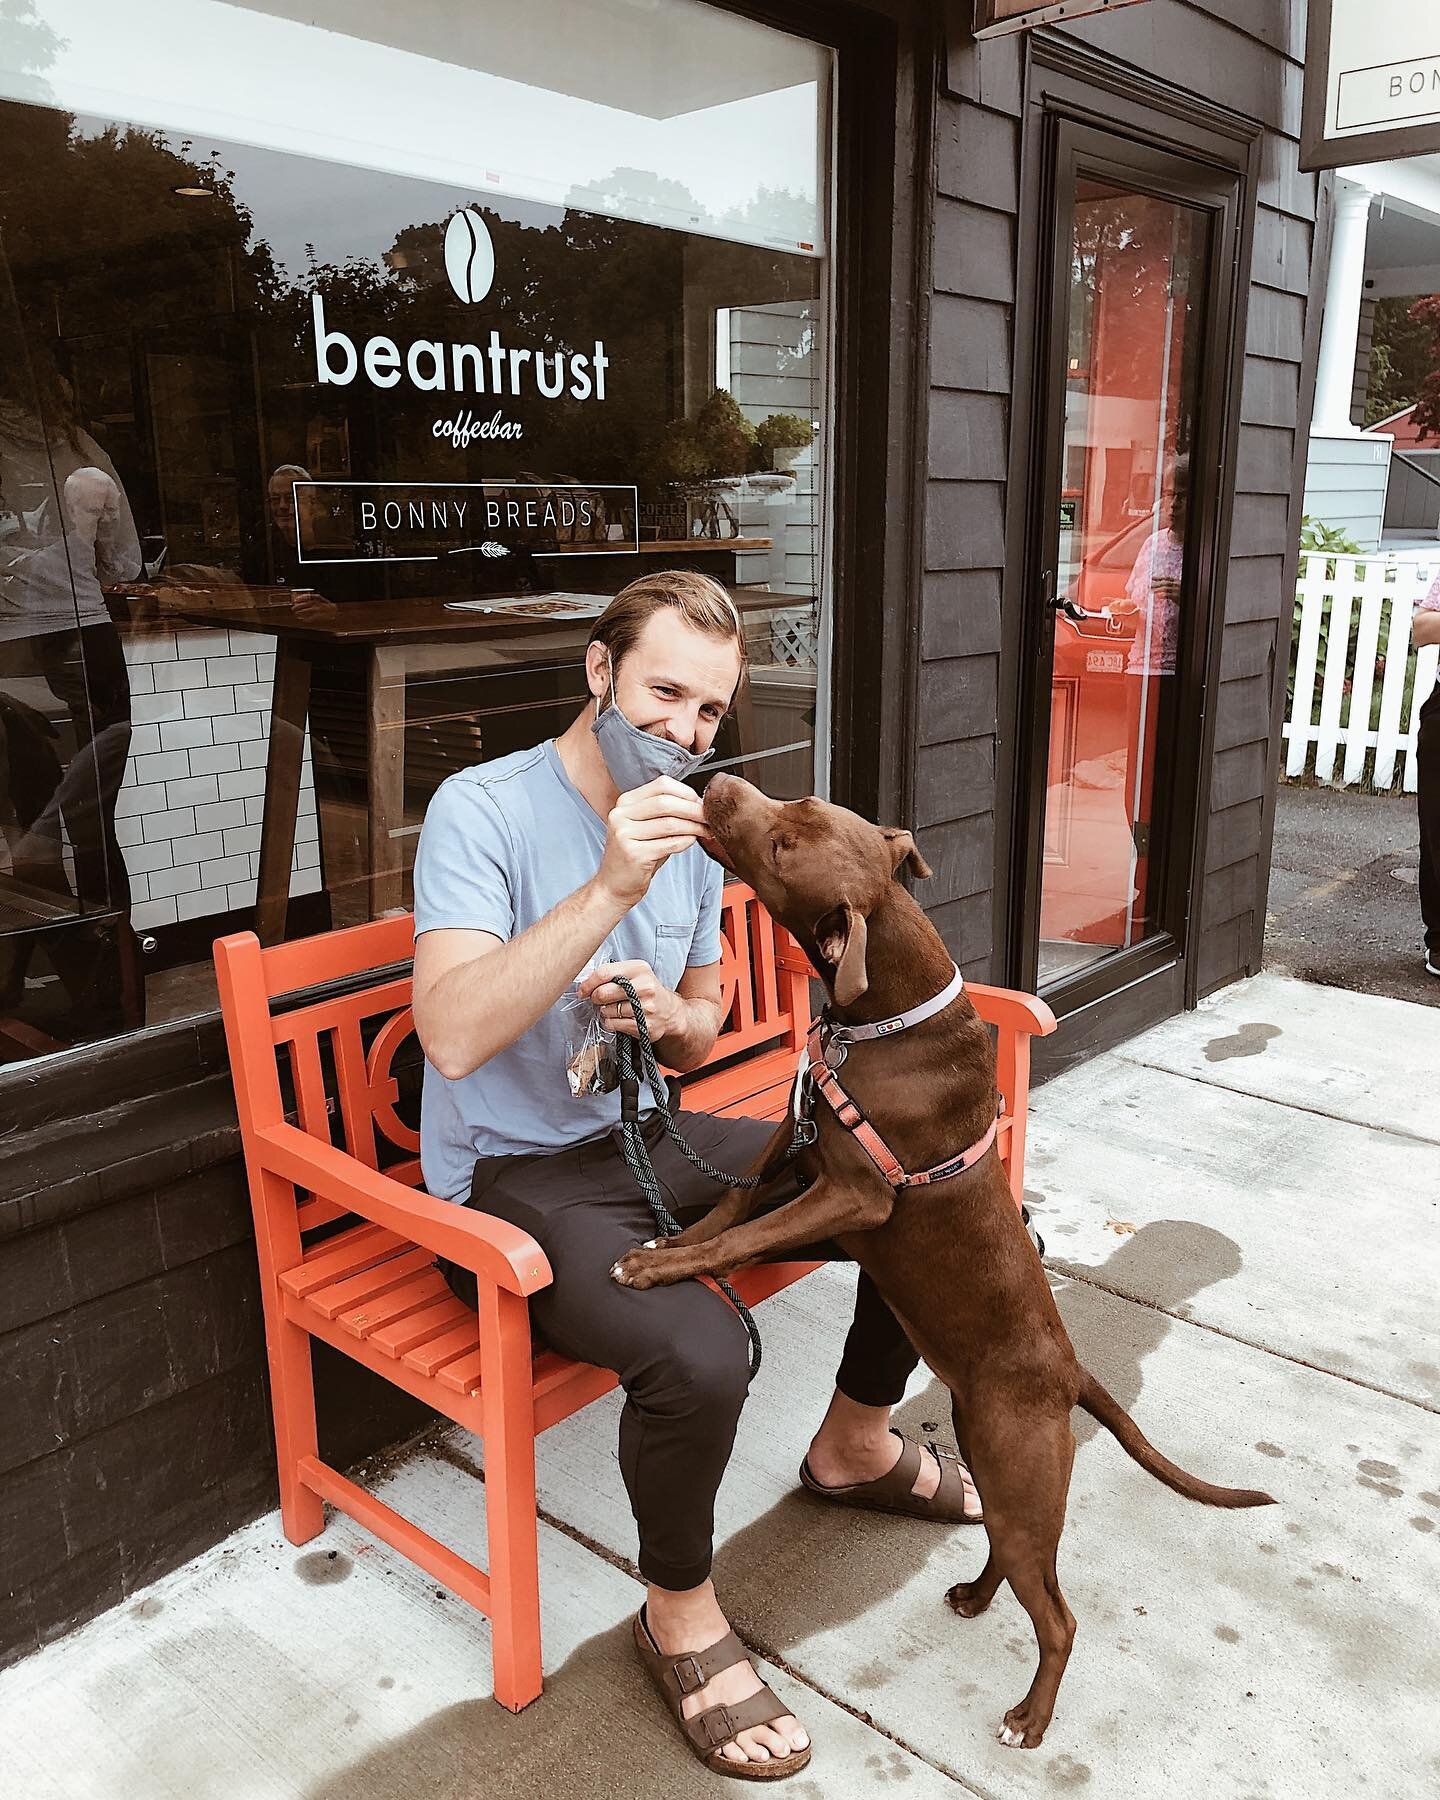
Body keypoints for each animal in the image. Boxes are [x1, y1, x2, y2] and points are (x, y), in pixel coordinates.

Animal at [612, 770, 1274, 1742]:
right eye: (797, 806)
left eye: (782, 846)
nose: (720, 779)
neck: (880, 1011)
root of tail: (1069, 1372)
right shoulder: (796, 1141)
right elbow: (731, 1202)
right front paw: (671, 1241)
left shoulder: (852, 1194)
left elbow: (743, 1231)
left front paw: (663, 1267)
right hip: (994, 1465)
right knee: (1011, 1557)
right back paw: (972, 1594)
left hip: (1019, 1474)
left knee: (1060, 1617)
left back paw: (1028, 1719)